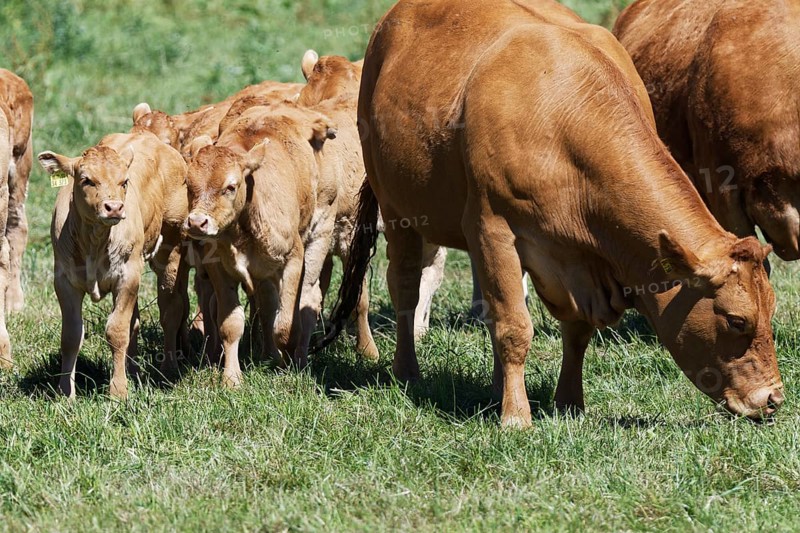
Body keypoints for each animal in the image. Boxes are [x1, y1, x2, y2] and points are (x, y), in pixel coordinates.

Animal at [38, 132, 191, 399]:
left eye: (124, 182)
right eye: (87, 180)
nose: (114, 207)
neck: (95, 241)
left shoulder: (127, 277)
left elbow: (117, 331)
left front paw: (118, 391)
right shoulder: (65, 281)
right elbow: (71, 336)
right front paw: (65, 392)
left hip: (170, 249)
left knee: (170, 310)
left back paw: (169, 367)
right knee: (135, 322)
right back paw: (133, 370)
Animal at [182, 103, 337, 386]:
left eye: (230, 186)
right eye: (189, 184)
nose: (197, 223)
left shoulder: (292, 261)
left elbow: (285, 326)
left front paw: (288, 367)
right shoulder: (220, 271)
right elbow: (231, 325)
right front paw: (232, 378)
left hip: (319, 231)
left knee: (304, 299)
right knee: (266, 304)